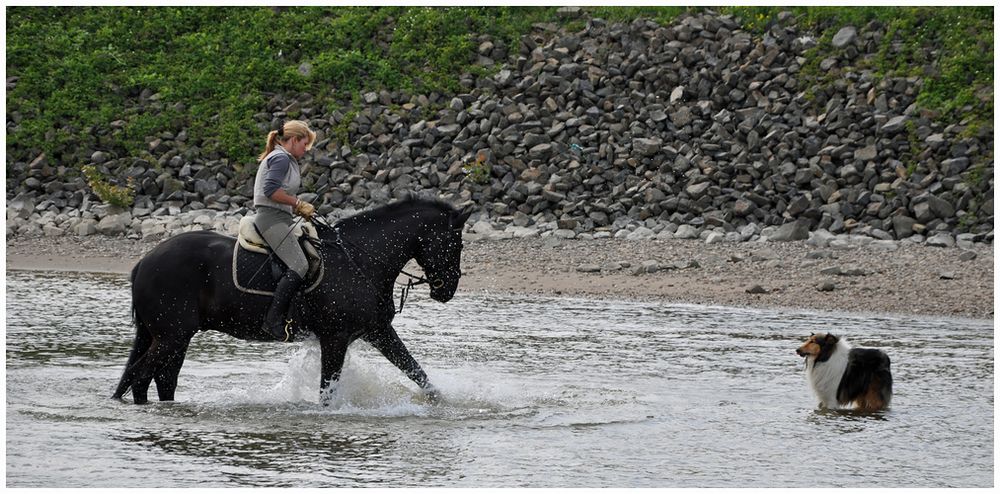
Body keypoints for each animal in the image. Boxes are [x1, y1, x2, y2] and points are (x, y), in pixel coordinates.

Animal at [111, 197, 470, 406]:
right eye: (455, 243)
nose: (448, 290)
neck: (359, 260)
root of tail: (143, 262)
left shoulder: (377, 331)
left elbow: (418, 373)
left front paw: (443, 405)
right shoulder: (336, 338)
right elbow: (327, 393)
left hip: (173, 338)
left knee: (160, 379)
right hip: (171, 336)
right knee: (141, 377)